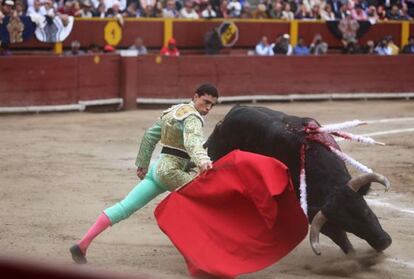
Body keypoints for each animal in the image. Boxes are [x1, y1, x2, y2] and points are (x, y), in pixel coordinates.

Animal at [205, 106, 392, 256]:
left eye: (366, 210)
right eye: (347, 226)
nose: (383, 242)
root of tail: (227, 118)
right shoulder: (313, 212)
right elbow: (336, 235)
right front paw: (352, 254)